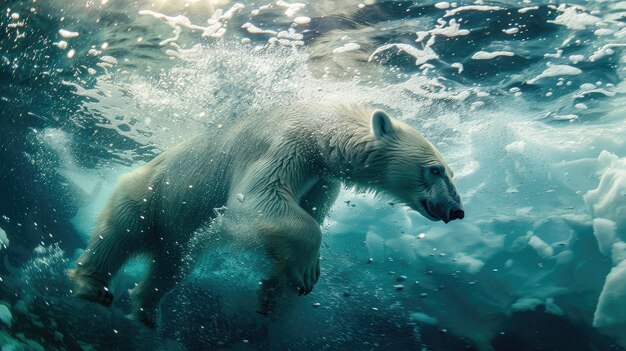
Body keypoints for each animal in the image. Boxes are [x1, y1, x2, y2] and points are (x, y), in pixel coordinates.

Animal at [67, 103, 464, 328]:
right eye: (435, 170)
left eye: (450, 171)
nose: (456, 211)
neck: (318, 125)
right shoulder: (283, 146)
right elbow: (258, 201)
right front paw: (307, 273)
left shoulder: (321, 180)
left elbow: (298, 218)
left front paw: (273, 294)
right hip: (150, 194)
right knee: (117, 235)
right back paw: (92, 287)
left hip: (178, 229)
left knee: (172, 265)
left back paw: (147, 310)